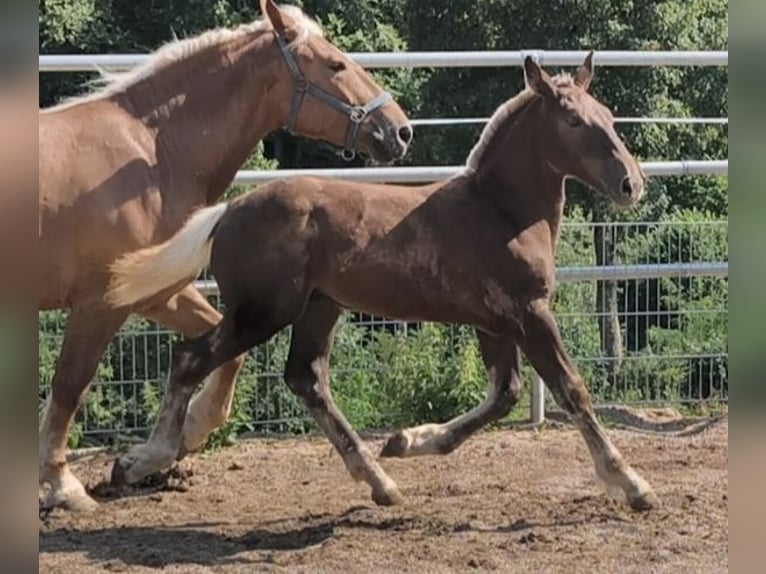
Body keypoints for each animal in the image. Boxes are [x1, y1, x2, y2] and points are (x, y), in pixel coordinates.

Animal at [38, 0, 412, 513]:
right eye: (335, 65)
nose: (401, 130)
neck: (153, 151)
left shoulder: (157, 293)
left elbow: (220, 356)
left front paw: (177, 441)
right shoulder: (101, 303)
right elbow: (70, 385)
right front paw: (62, 485)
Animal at [105, 53, 660, 512]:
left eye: (608, 115)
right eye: (572, 120)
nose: (632, 183)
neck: (500, 210)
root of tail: (229, 211)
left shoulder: (495, 322)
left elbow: (505, 394)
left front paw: (405, 442)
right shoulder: (529, 314)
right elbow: (571, 389)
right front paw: (632, 484)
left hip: (319, 307)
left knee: (305, 378)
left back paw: (380, 481)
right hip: (262, 311)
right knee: (191, 357)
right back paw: (142, 460)